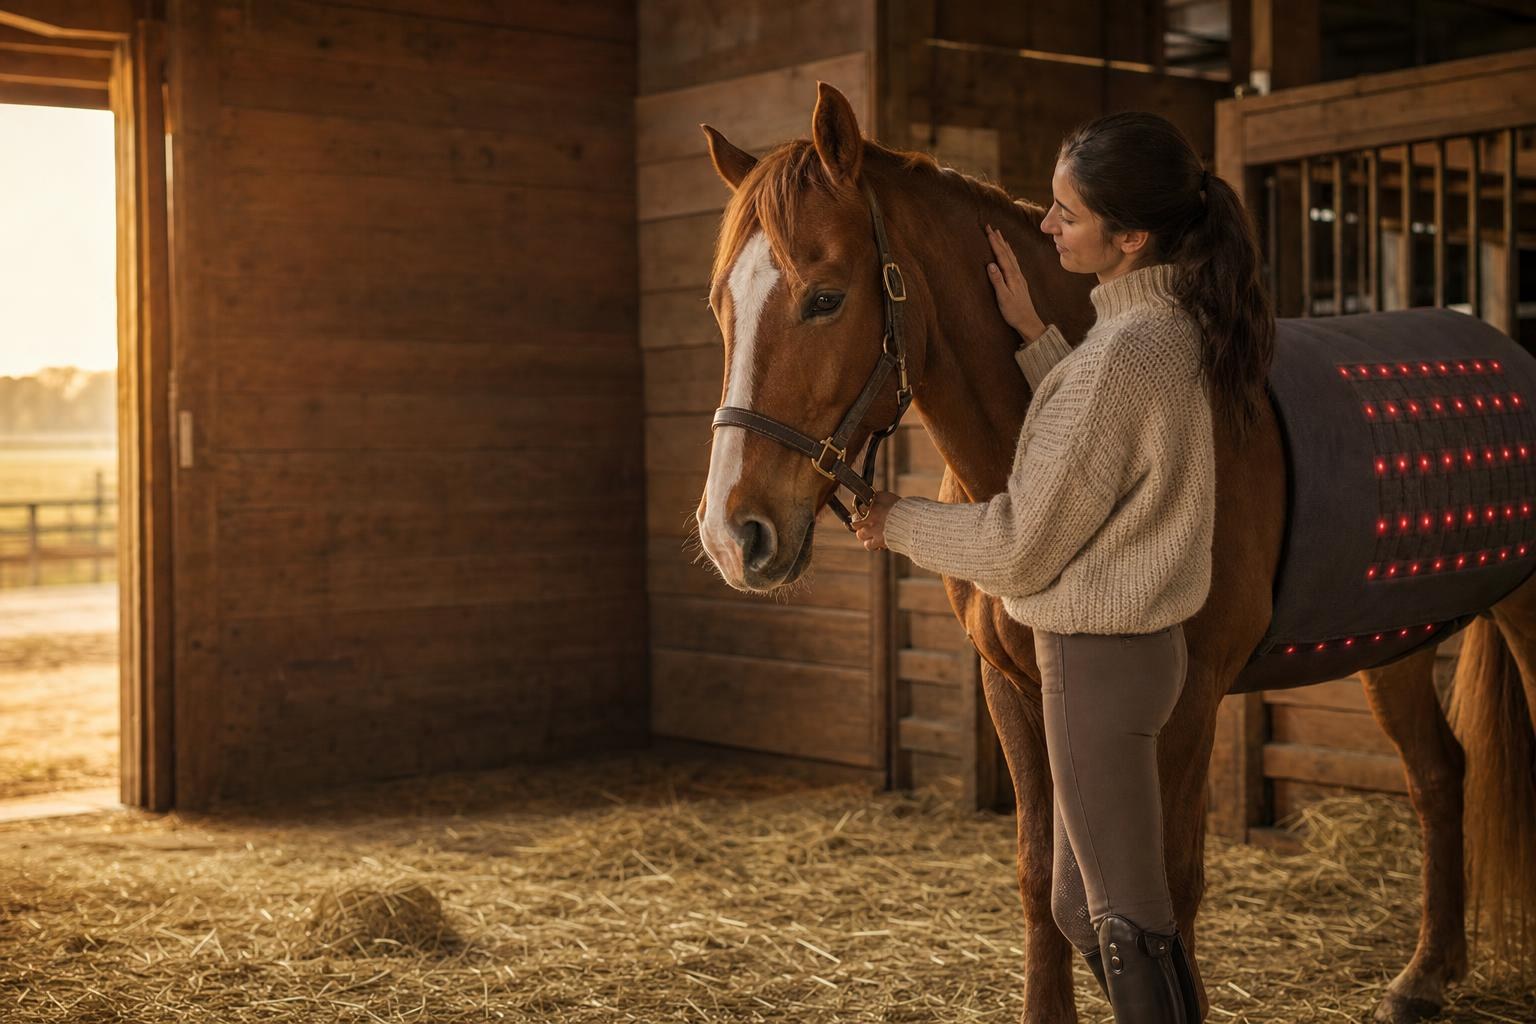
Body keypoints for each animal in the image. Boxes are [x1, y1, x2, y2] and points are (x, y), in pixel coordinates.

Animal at [690, 81, 1536, 1023]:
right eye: (722, 307)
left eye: (826, 298)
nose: (733, 534)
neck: (1025, 463)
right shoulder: (1016, 689)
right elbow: (1043, 883)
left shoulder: (1188, 697)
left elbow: (1166, 888)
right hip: (1391, 643)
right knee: (1437, 774)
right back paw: (1425, 975)